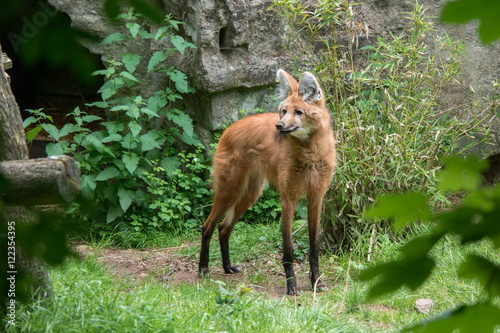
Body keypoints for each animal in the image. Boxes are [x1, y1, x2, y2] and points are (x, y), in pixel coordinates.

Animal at [198, 68, 336, 294]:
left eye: (298, 112)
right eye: (283, 111)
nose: (279, 126)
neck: (309, 153)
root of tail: (228, 128)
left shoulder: (316, 196)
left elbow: (314, 247)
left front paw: (316, 282)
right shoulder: (288, 197)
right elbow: (288, 249)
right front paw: (292, 286)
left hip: (249, 194)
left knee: (223, 228)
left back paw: (227, 267)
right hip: (231, 190)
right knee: (207, 226)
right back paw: (203, 269)